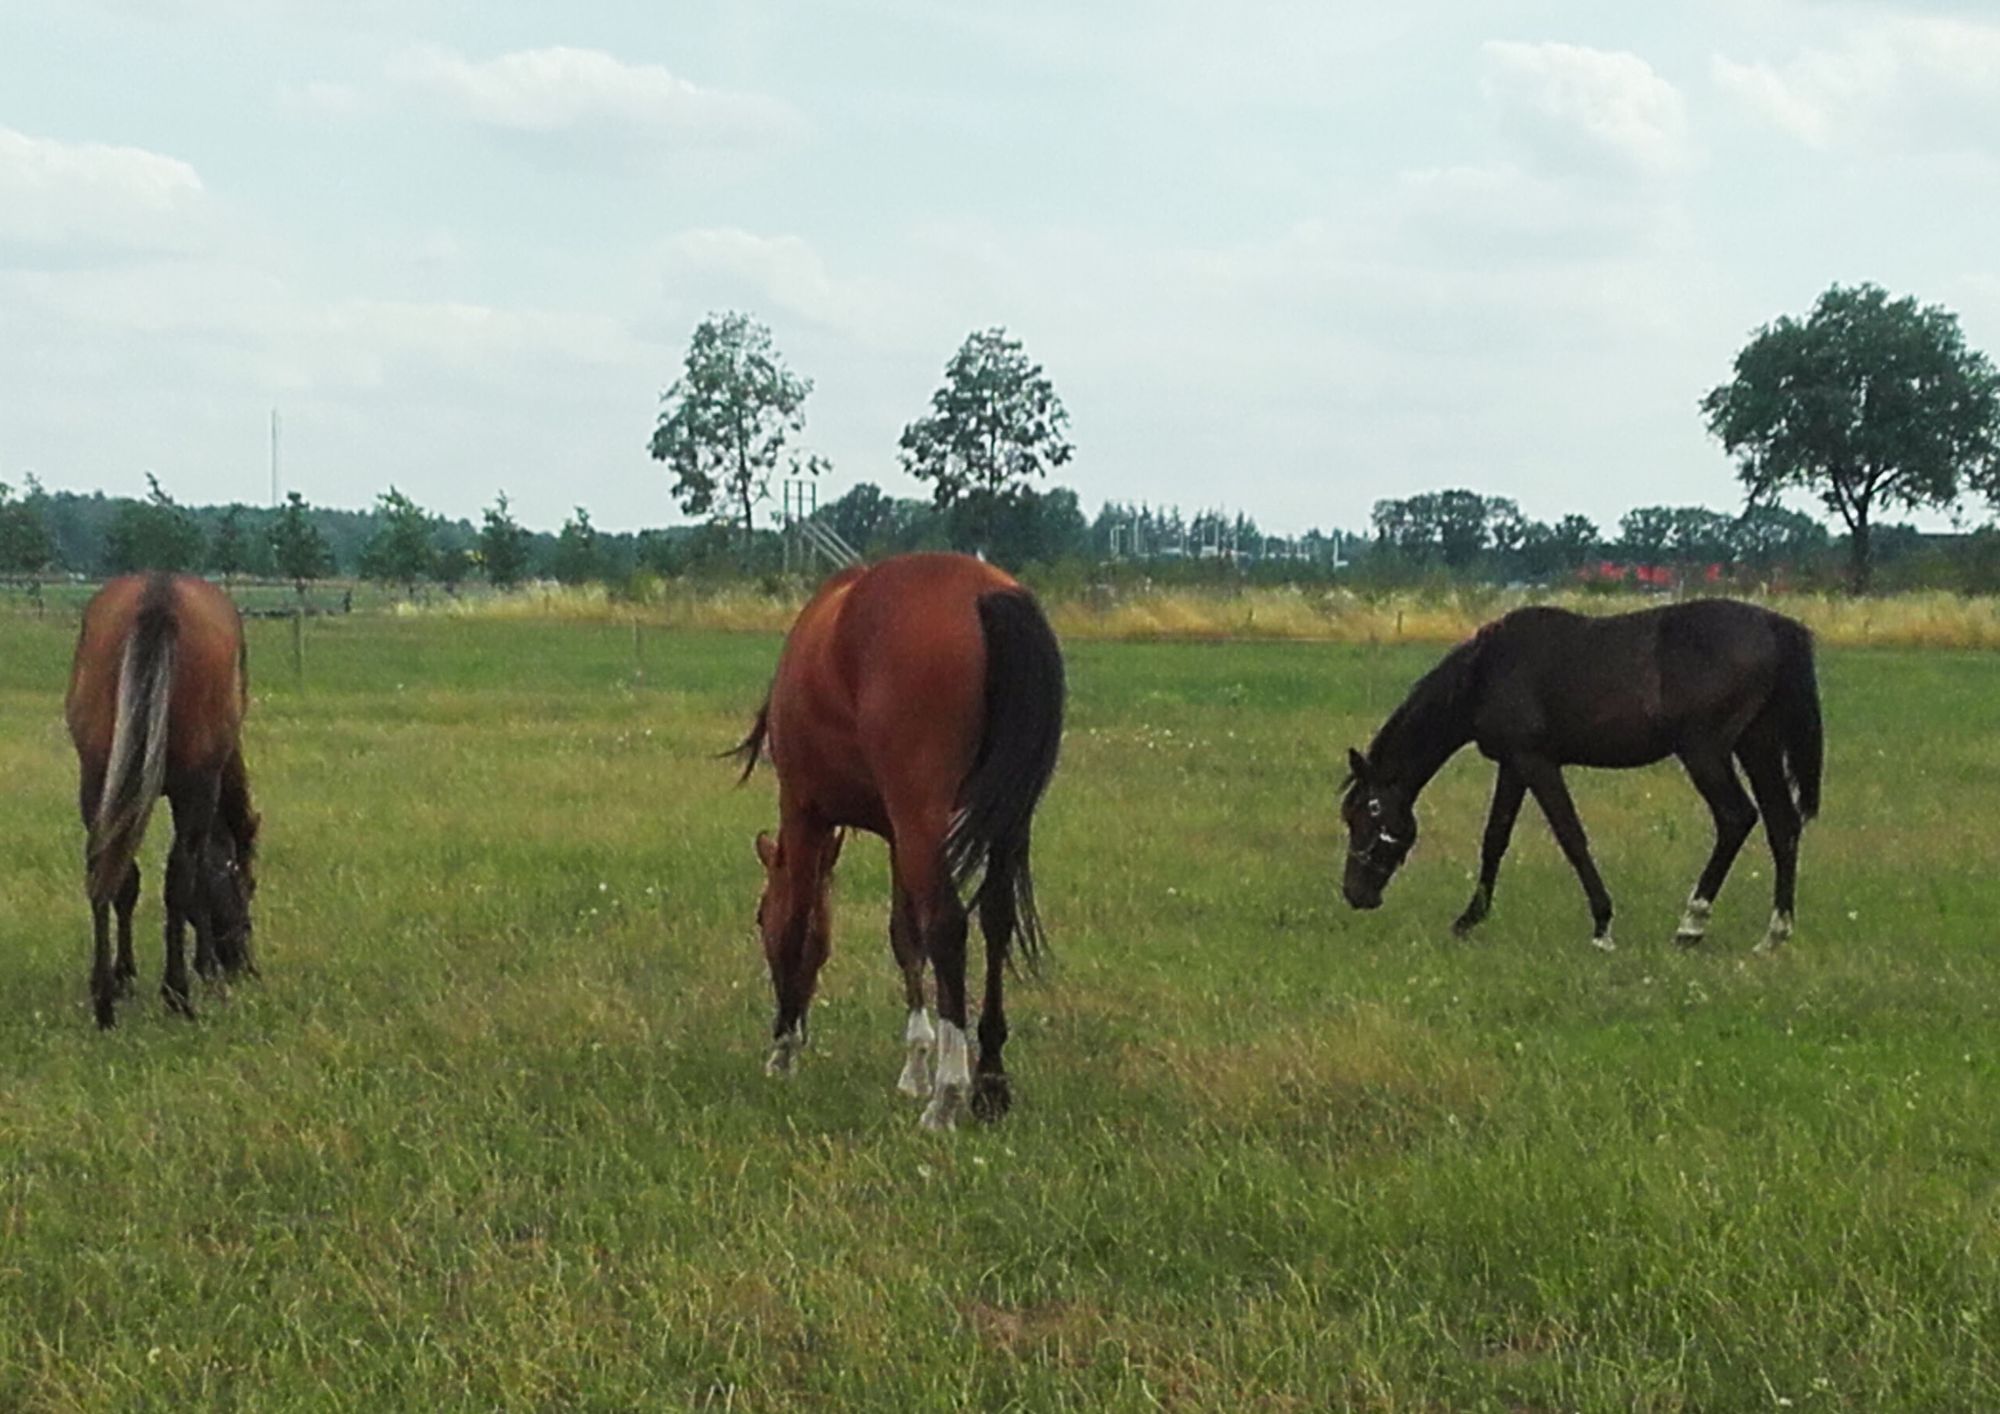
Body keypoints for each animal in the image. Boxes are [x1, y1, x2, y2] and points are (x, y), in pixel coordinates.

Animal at [66, 572, 260, 1027]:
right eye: (249, 885)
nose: (244, 967)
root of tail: (159, 594)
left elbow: (127, 882)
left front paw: (122, 975)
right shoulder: (201, 791)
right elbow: (196, 879)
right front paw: (205, 969)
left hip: (97, 779)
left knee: (104, 870)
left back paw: (104, 999)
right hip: (194, 789)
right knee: (179, 875)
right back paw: (178, 993)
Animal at [733, 553, 1065, 1129]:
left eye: (758, 917)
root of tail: (985, 594)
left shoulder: (805, 812)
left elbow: (799, 921)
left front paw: (783, 1050)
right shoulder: (895, 834)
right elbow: (903, 935)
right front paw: (914, 1066)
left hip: (922, 816)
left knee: (950, 925)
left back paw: (949, 1096)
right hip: (1003, 821)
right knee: (995, 920)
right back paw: (990, 1083)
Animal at [1338, 599, 1822, 953]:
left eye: (1364, 815)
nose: (1355, 894)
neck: (1487, 671)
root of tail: (1774, 625)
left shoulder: (1537, 762)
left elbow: (1571, 837)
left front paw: (1603, 925)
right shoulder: (1513, 764)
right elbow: (1495, 838)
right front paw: (1467, 919)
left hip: (1705, 752)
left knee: (1737, 818)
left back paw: (1691, 925)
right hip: (1756, 746)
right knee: (1782, 825)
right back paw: (1774, 935)